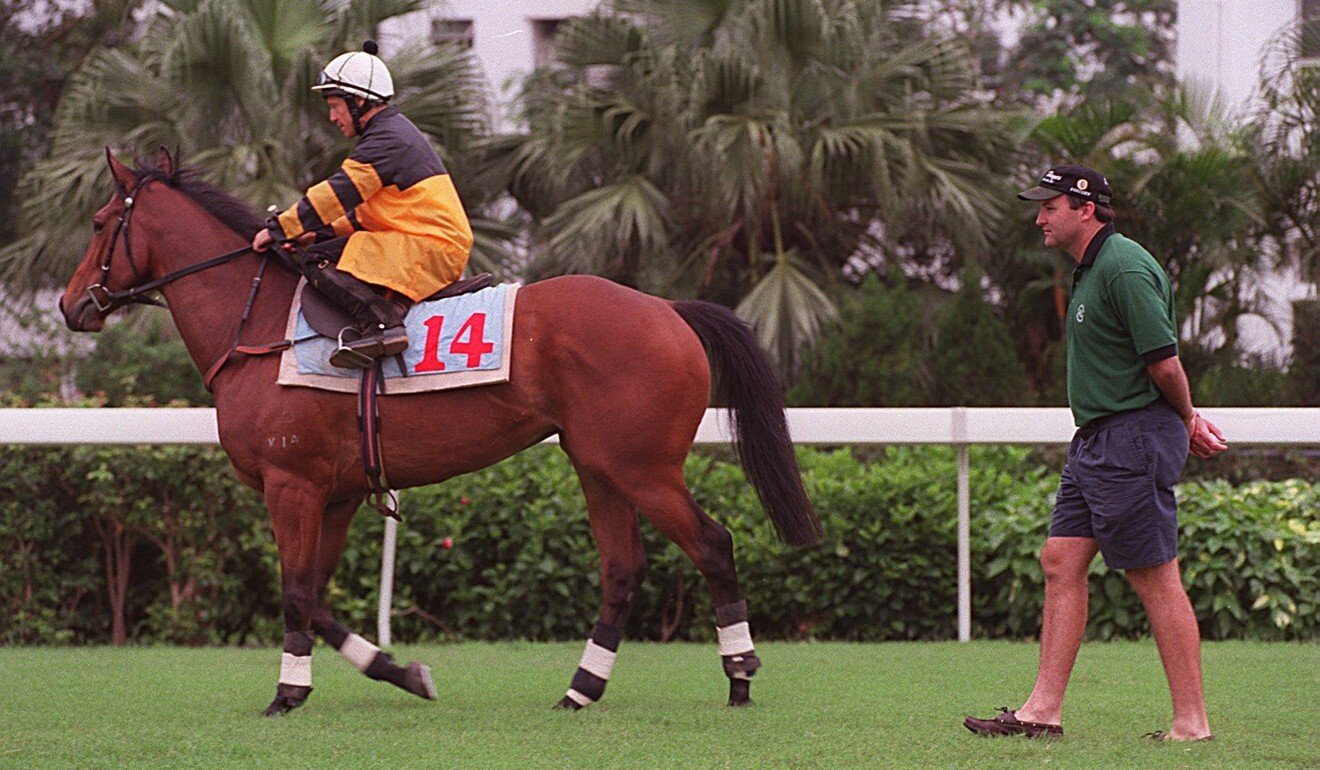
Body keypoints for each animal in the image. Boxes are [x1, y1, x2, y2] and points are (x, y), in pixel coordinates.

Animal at [64, 149, 823, 718]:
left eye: (101, 221)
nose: (72, 306)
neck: (262, 328)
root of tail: (668, 309)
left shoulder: (292, 484)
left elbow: (298, 593)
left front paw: (288, 692)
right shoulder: (335, 492)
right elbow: (317, 597)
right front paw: (399, 671)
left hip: (644, 468)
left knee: (712, 544)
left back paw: (739, 671)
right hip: (597, 465)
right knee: (622, 569)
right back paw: (581, 688)